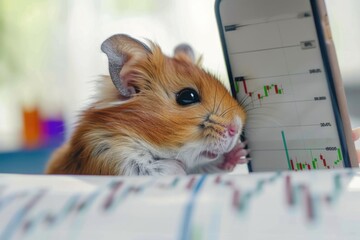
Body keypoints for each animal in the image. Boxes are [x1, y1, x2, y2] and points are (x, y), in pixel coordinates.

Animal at [45, 33, 249, 176]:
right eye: (187, 96)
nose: (237, 128)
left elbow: (205, 167)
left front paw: (240, 153)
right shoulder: (110, 158)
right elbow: (156, 168)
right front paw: (178, 168)